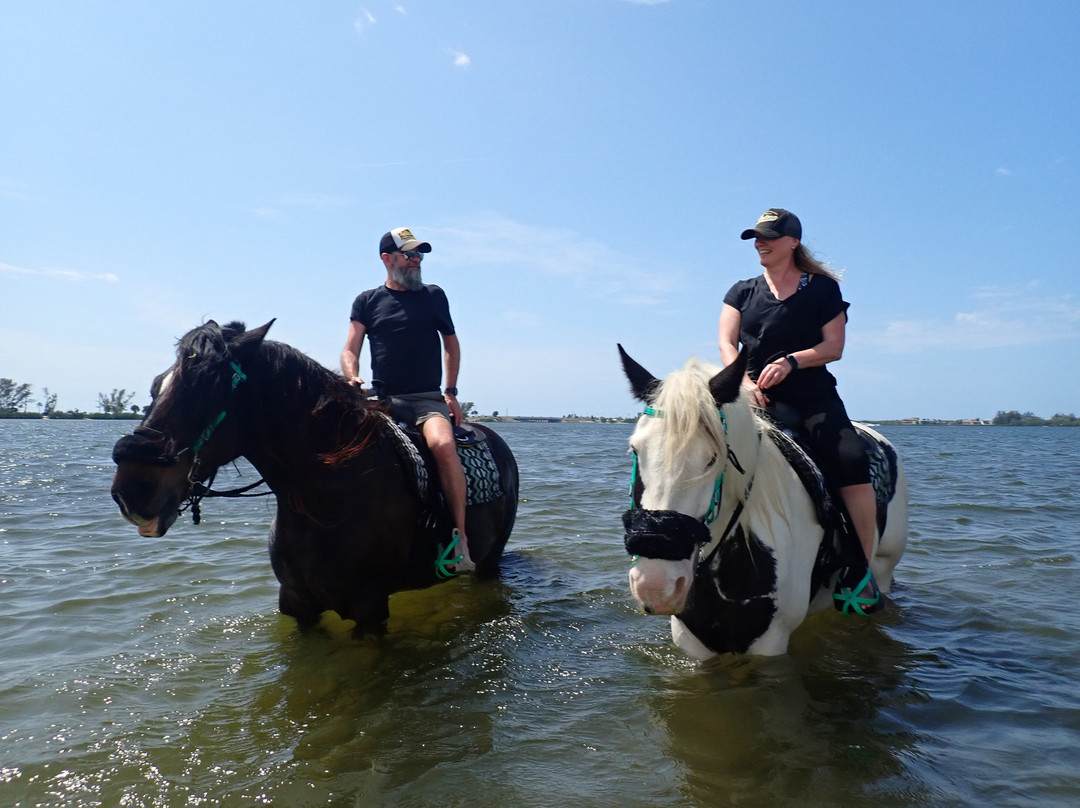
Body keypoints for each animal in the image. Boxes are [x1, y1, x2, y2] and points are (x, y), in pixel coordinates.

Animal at [110, 319, 519, 635]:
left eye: (208, 388)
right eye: (156, 385)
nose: (131, 490)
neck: (329, 500)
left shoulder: (369, 610)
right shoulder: (297, 605)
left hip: (489, 562)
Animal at [618, 345, 907, 659]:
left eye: (713, 458)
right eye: (636, 450)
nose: (655, 584)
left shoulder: (770, 642)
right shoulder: (691, 641)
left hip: (883, 568)